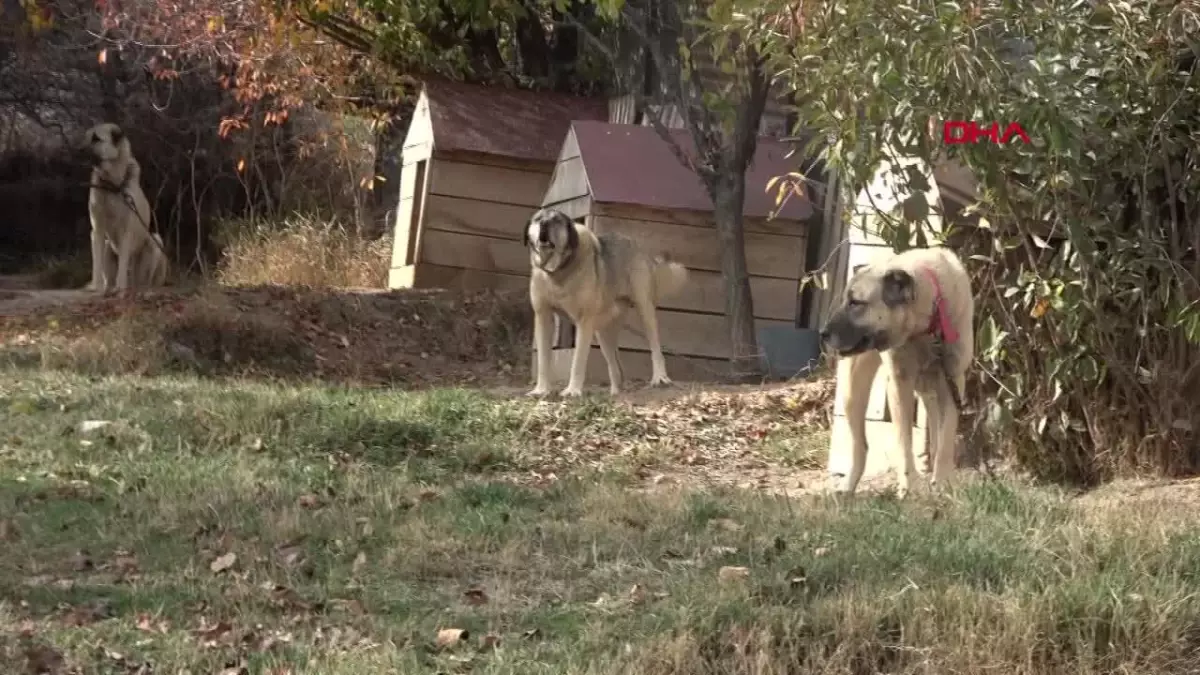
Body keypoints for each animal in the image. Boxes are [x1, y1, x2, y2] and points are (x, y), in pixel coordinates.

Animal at [84, 123, 164, 291]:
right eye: (86, 136)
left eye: (96, 138)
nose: (77, 149)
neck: (112, 184)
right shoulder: (97, 230)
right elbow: (97, 264)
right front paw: (97, 287)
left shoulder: (125, 231)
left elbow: (122, 264)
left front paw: (120, 288)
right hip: (108, 246)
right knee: (110, 278)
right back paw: (109, 288)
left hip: (155, 241)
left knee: (144, 281)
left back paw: (141, 289)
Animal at [523, 207, 686, 396]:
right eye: (538, 219)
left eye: (556, 220)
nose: (544, 224)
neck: (558, 271)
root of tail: (635, 245)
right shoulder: (543, 316)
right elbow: (543, 359)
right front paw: (541, 390)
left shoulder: (584, 321)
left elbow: (578, 360)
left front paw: (572, 391)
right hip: (603, 332)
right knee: (616, 366)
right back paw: (615, 393)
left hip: (644, 309)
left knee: (655, 347)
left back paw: (659, 377)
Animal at [816, 243, 974, 497]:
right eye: (846, 301)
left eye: (856, 303)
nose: (823, 333)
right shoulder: (900, 385)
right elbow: (904, 442)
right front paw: (909, 485)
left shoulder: (953, 383)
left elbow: (946, 437)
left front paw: (942, 483)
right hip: (853, 392)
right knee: (860, 446)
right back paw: (849, 486)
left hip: (931, 389)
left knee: (935, 428)